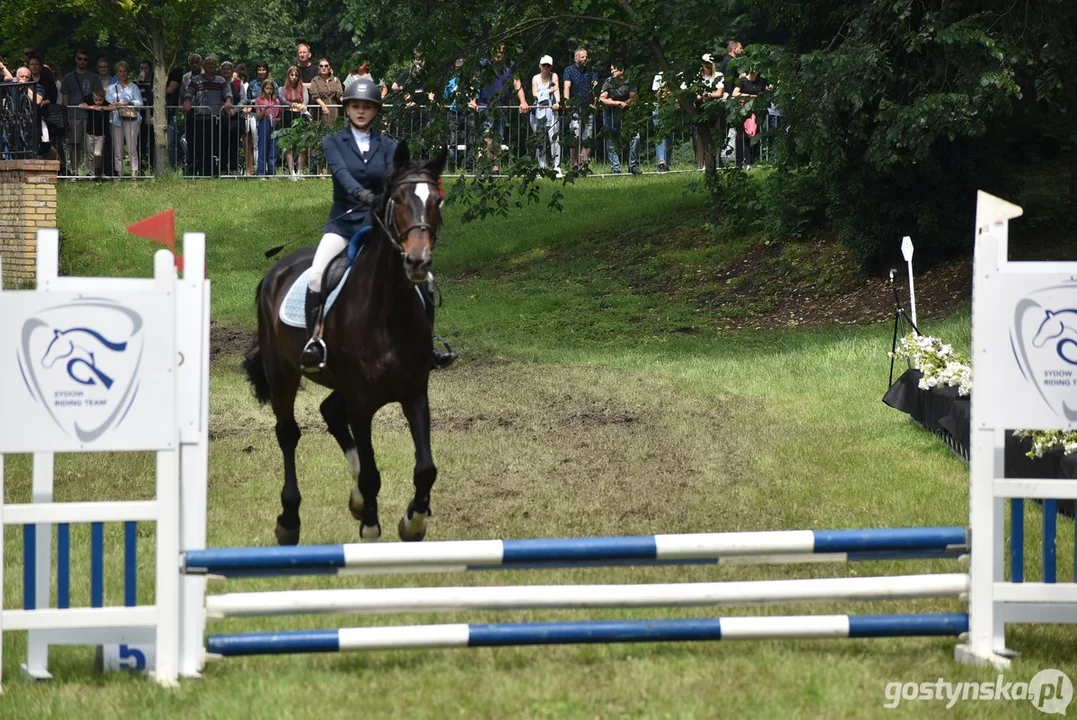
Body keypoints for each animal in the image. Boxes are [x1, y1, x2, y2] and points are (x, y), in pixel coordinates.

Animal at [243, 142, 445, 544]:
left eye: (437, 201)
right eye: (398, 200)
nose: (417, 261)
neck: (388, 311)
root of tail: (276, 270)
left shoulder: (414, 392)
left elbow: (425, 468)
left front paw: (413, 520)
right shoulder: (362, 402)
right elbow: (371, 473)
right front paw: (370, 524)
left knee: (329, 411)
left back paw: (355, 501)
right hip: (283, 375)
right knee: (288, 433)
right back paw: (289, 520)